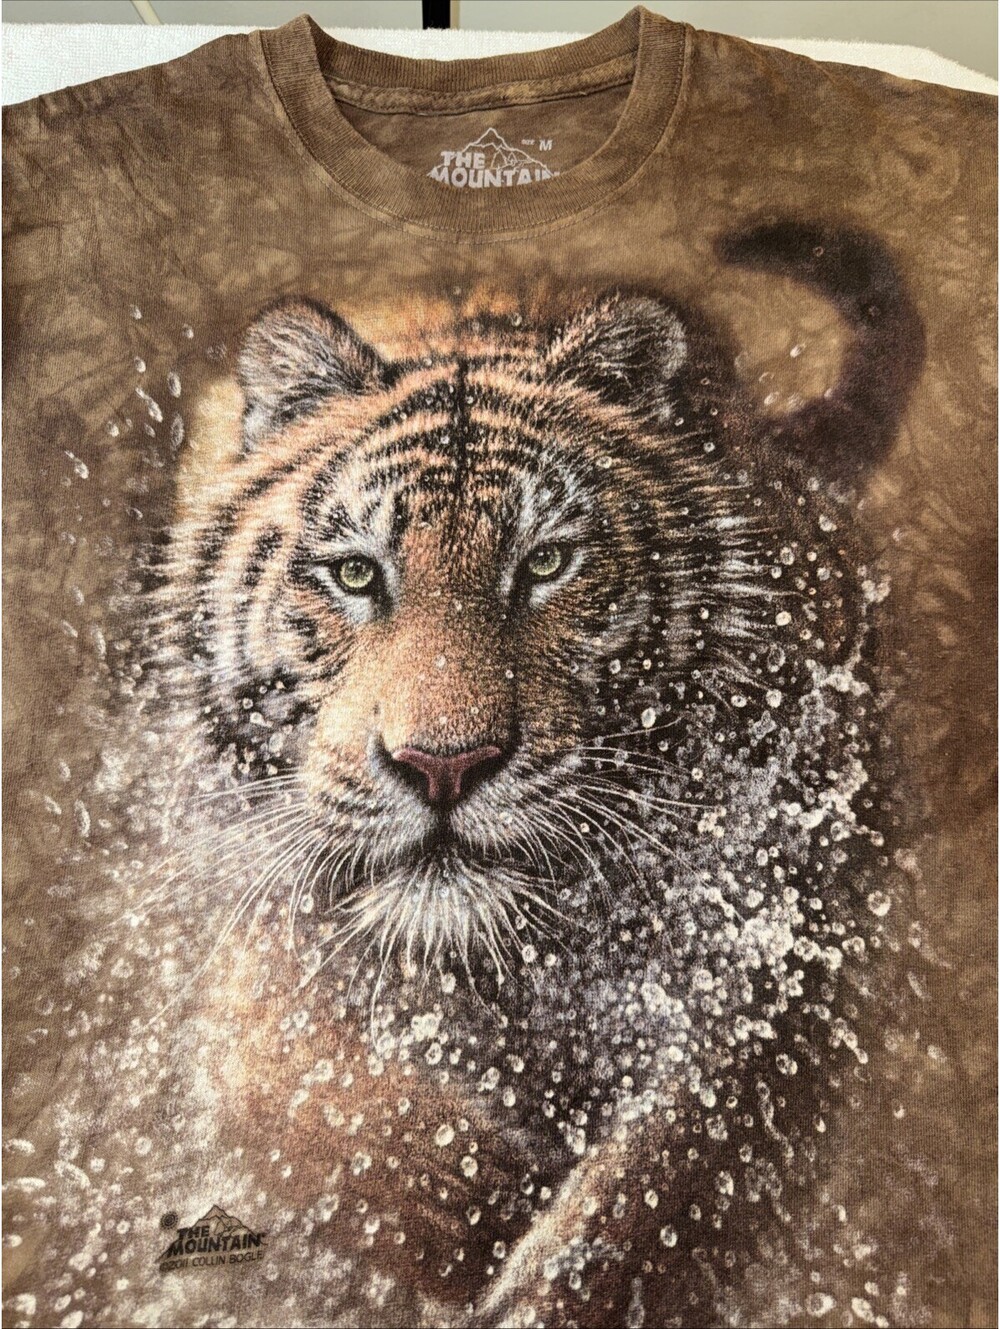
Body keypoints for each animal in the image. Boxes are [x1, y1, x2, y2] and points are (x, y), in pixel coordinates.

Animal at [134, 220, 927, 1328]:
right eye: (355, 573)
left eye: (546, 563)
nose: (444, 765)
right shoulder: (266, 945)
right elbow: (328, 1111)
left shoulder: (772, 956)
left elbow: (646, 1191)